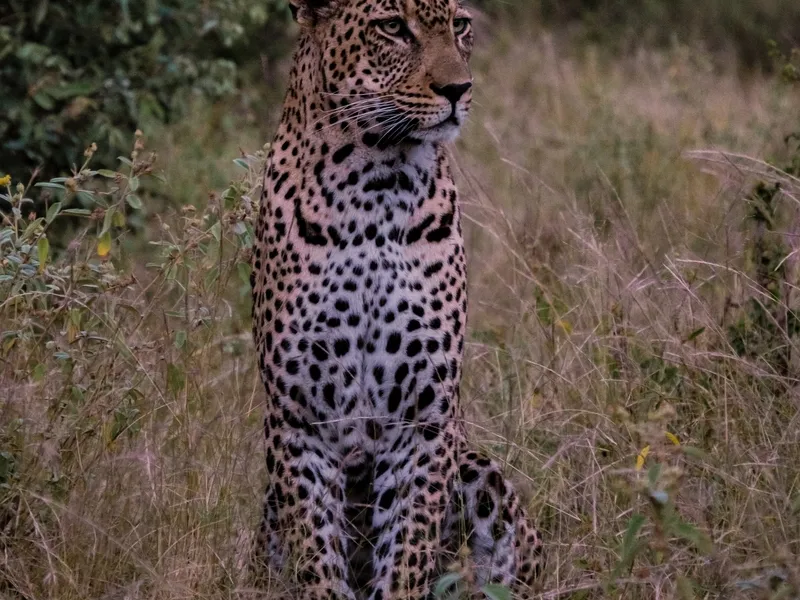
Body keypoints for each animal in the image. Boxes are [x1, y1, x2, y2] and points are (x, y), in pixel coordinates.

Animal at [249, 0, 543, 597]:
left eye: (459, 24)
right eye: (392, 27)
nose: (459, 88)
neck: (374, 188)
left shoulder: (424, 421)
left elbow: (408, 548)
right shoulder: (297, 420)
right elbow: (317, 556)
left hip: (481, 472)